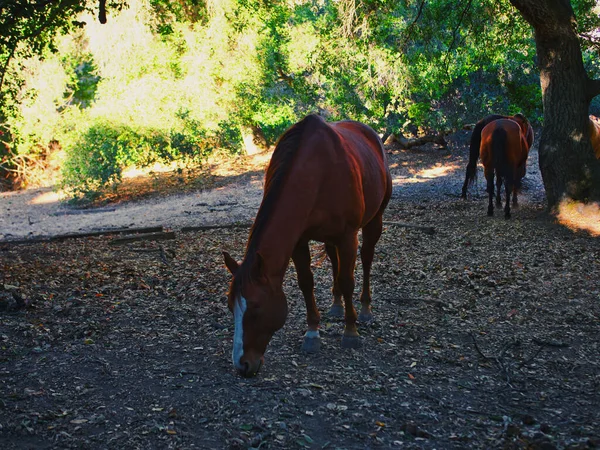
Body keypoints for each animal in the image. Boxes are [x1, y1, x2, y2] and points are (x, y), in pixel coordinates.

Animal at [223, 112, 392, 376]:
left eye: (256, 308)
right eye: (231, 307)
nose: (242, 365)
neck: (317, 172)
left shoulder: (348, 236)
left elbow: (347, 280)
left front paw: (350, 331)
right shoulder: (299, 241)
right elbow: (306, 283)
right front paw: (313, 332)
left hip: (374, 220)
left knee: (366, 259)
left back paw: (365, 309)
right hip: (331, 237)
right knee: (334, 260)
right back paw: (336, 305)